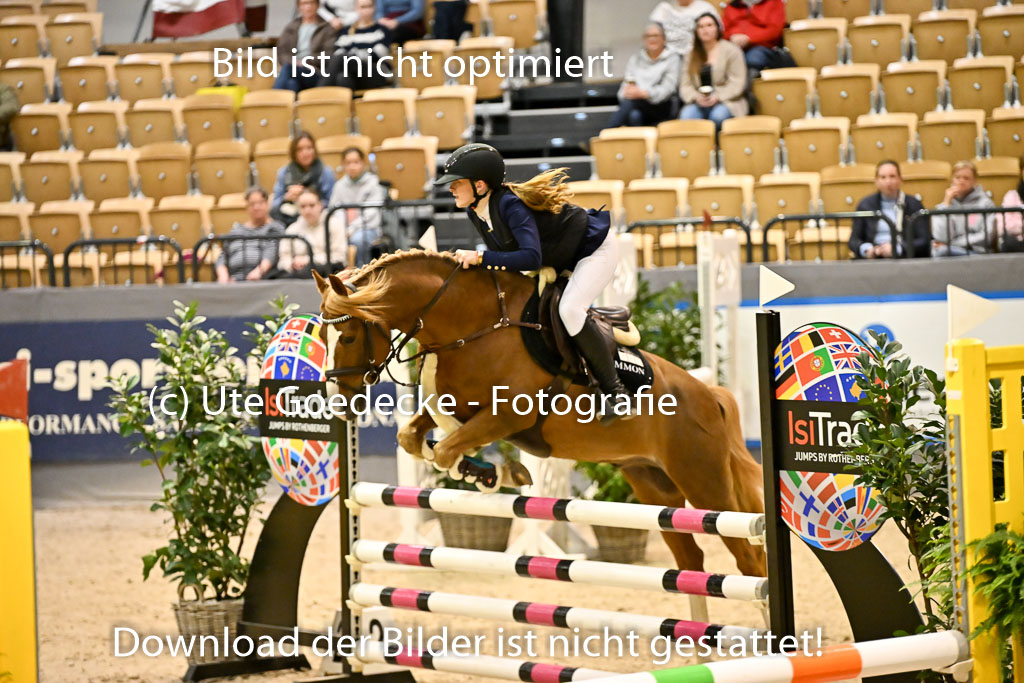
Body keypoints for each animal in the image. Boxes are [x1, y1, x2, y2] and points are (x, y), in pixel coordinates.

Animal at [314, 250, 766, 578]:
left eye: (348, 336)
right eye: (321, 335)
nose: (338, 399)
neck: (472, 326)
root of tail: (709, 395)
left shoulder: (507, 415)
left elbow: (444, 448)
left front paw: (496, 472)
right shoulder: (461, 404)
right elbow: (416, 436)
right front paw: (487, 472)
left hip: (704, 483)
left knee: (748, 558)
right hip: (654, 485)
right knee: (690, 560)